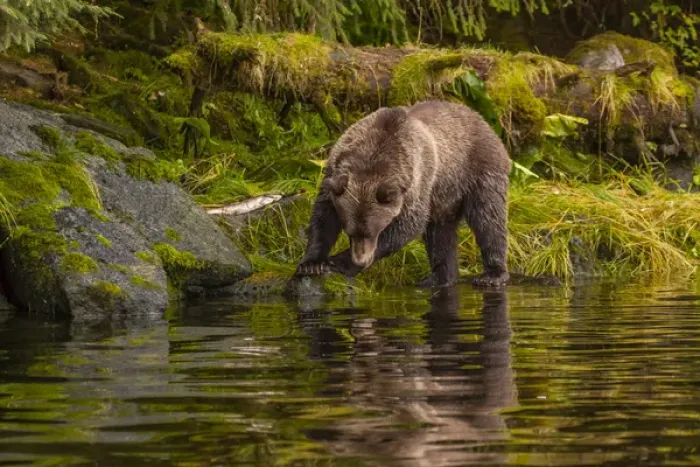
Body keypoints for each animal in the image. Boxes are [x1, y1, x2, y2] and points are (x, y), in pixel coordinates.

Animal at [294, 99, 511, 287]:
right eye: (349, 232)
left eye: (373, 231)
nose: (361, 261)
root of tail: (479, 117)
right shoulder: (335, 175)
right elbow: (323, 218)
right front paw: (312, 263)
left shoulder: (416, 184)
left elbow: (407, 226)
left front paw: (341, 262)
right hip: (443, 197)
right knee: (441, 233)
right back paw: (438, 278)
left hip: (478, 170)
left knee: (488, 218)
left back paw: (492, 274)